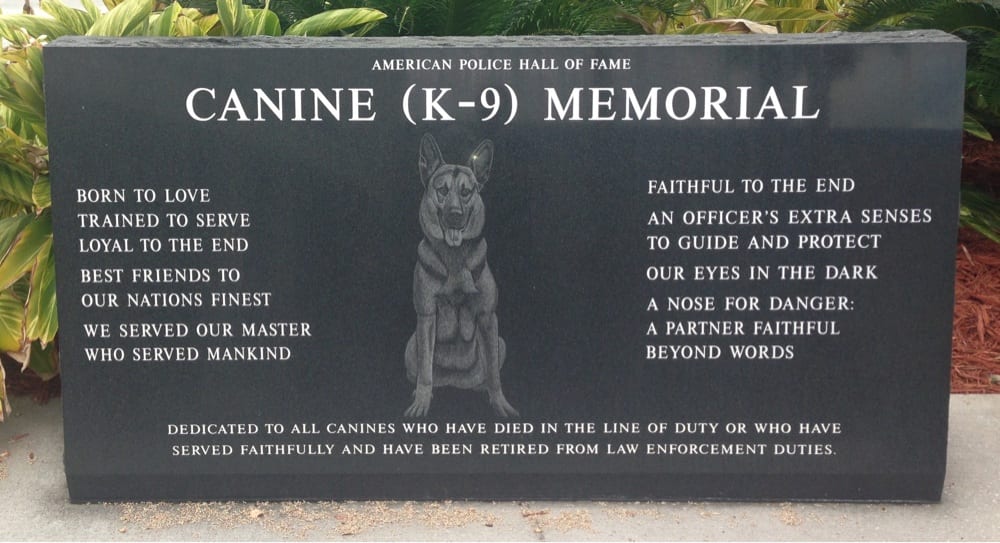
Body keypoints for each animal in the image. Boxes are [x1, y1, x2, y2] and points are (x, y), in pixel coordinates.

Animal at [402, 134, 520, 418]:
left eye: (467, 192)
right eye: (442, 190)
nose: (455, 216)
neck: (454, 258)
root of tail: (454, 383)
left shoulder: (488, 318)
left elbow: (494, 375)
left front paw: (499, 403)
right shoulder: (426, 317)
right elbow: (425, 371)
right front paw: (421, 402)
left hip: (501, 342)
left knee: (488, 371)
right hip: (411, 345)